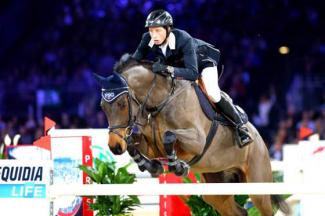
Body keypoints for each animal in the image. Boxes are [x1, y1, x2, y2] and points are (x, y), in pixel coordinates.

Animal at [94, 54, 288, 216]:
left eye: (121, 104)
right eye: (102, 106)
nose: (114, 147)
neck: (161, 101)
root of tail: (261, 140)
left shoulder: (198, 141)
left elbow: (169, 136)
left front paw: (178, 166)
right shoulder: (152, 147)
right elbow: (134, 144)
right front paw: (151, 166)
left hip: (258, 185)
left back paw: (243, 134)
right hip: (216, 188)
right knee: (238, 211)